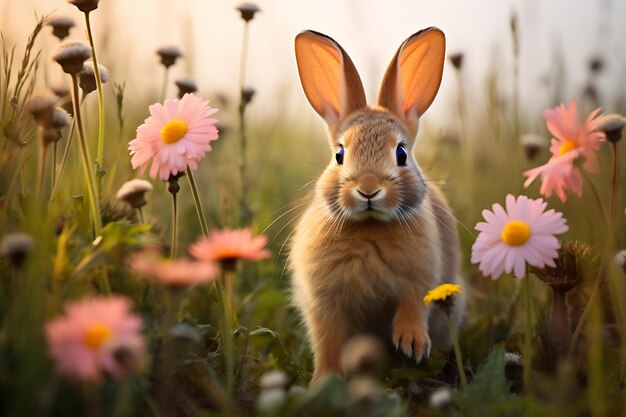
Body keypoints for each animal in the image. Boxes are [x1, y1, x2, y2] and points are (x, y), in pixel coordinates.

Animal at [288, 27, 464, 382]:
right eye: (339, 154)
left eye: (401, 153)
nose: (368, 190)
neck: (370, 228)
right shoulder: (324, 303)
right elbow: (327, 340)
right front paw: (324, 380)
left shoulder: (419, 280)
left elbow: (413, 306)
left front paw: (412, 344)